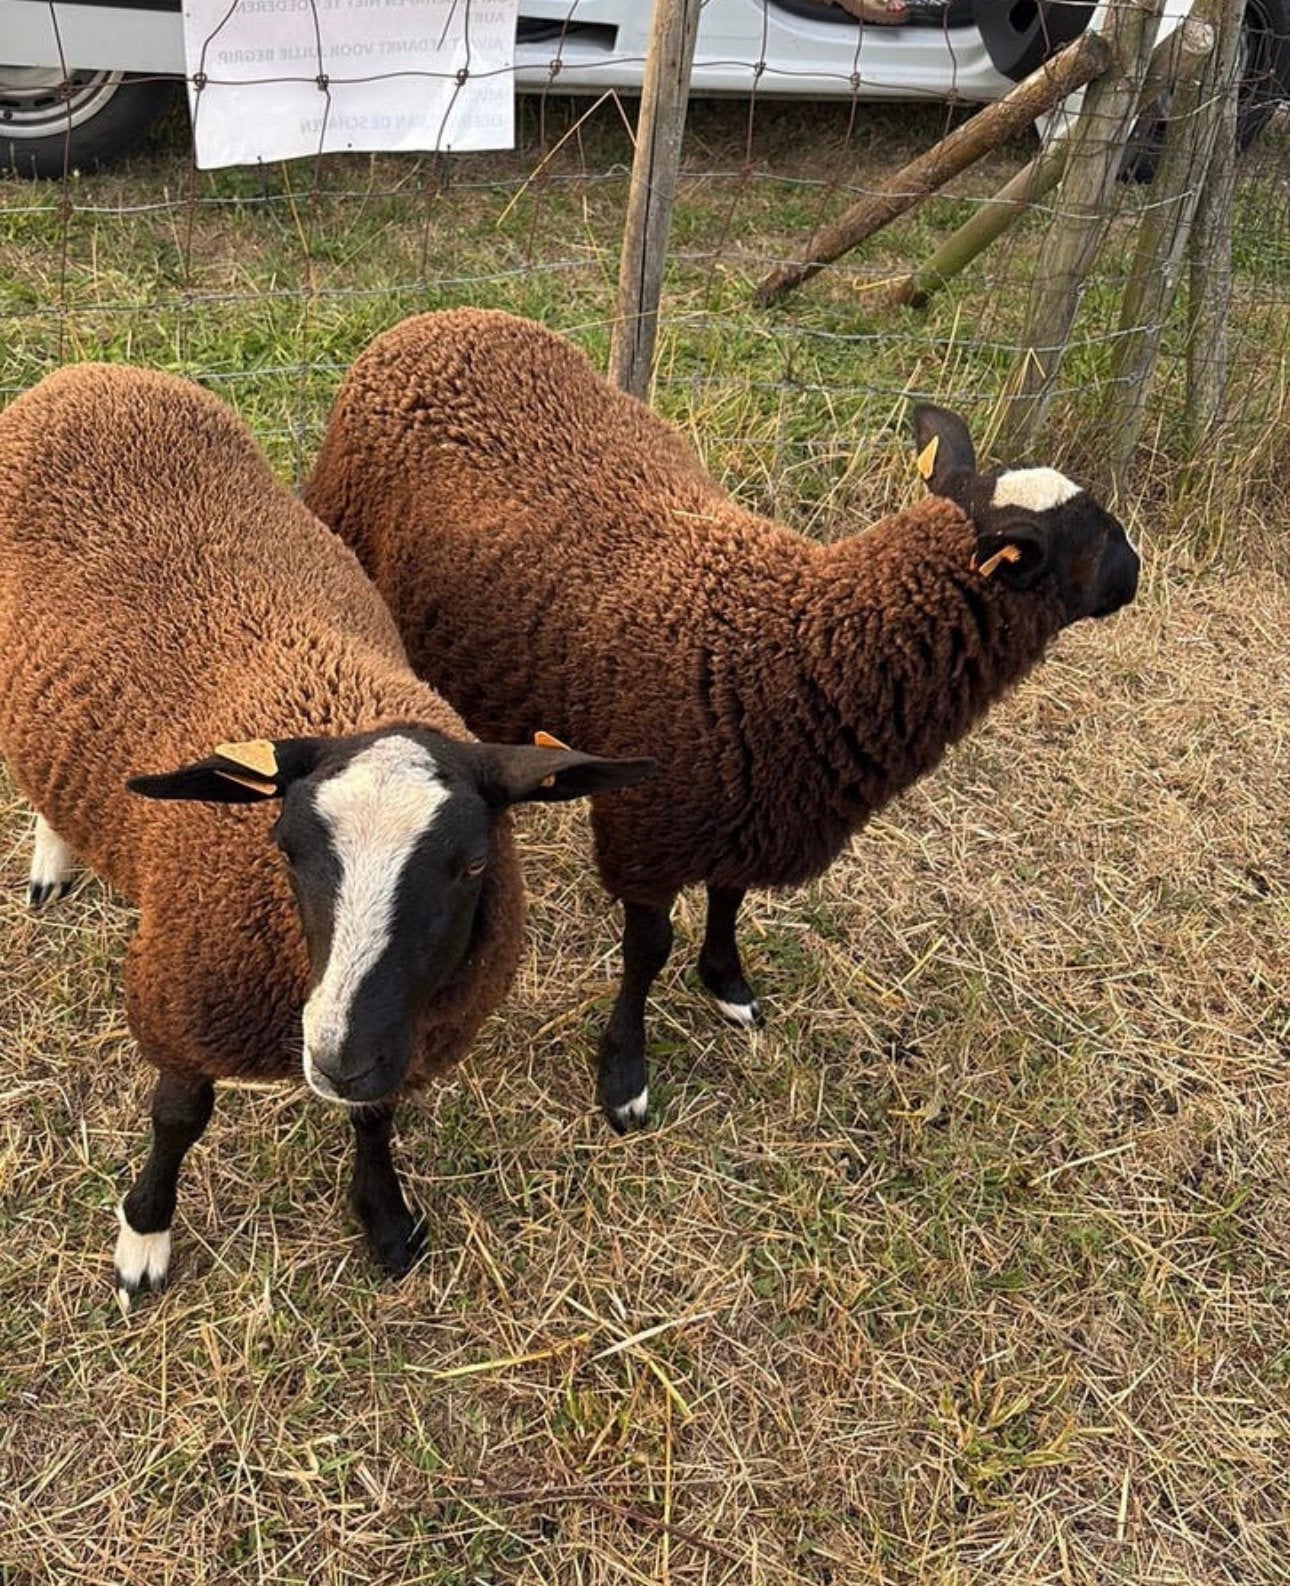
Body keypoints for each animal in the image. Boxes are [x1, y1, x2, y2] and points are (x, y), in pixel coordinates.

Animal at [0, 361, 652, 1298]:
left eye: (472, 867)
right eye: (285, 849)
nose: (337, 1056)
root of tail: (96, 373)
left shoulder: (405, 1032)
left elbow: (374, 1118)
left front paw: (384, 1218)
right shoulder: (178, 999)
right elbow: (178, 1115)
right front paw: (145, 1236)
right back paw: (51, 858)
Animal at [303, 308, 1140, 1134]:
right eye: (1094, 535)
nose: (1137, 574)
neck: (800, 650)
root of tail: (433, 319)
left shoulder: (751, 812)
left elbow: (729, 898)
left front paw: (728, 985)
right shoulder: (647, 828)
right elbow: (647, 951)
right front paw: (624, 1076)